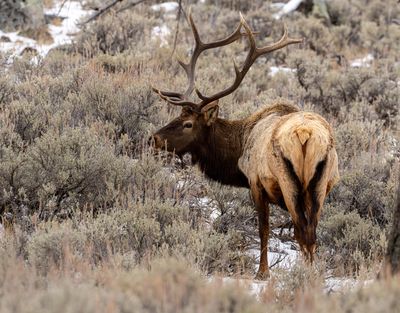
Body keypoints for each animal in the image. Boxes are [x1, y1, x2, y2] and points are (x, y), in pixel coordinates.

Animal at [150, 11, 338, 278]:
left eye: (188, 123)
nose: (154, 138)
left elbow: (264, 229)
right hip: (322, 184)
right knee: (312, 232)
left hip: (289, 182)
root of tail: (306, 135)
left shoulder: (256, 183)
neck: (239, 149)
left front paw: (262, 273)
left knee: (302, 231)